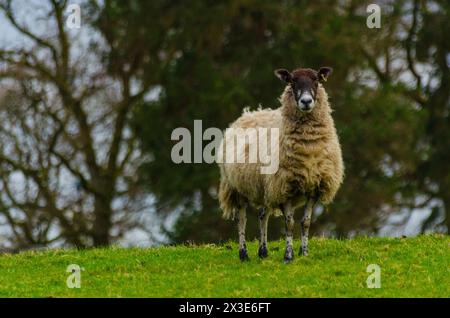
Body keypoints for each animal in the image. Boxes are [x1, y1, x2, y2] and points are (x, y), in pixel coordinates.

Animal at [218, 66, 344, 262]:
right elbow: (289, 223)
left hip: (265, 188)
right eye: (292, 81)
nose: (306, 101)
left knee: (263, 216)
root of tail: (250, 113)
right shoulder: (284, 189)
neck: (308, 150)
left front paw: (304, 253)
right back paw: (243, 253)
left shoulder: (313, 188)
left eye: (316, 79)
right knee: (242, 219)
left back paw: (263, 252)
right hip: (237, 187)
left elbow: (305, 223)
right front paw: (288, 255)